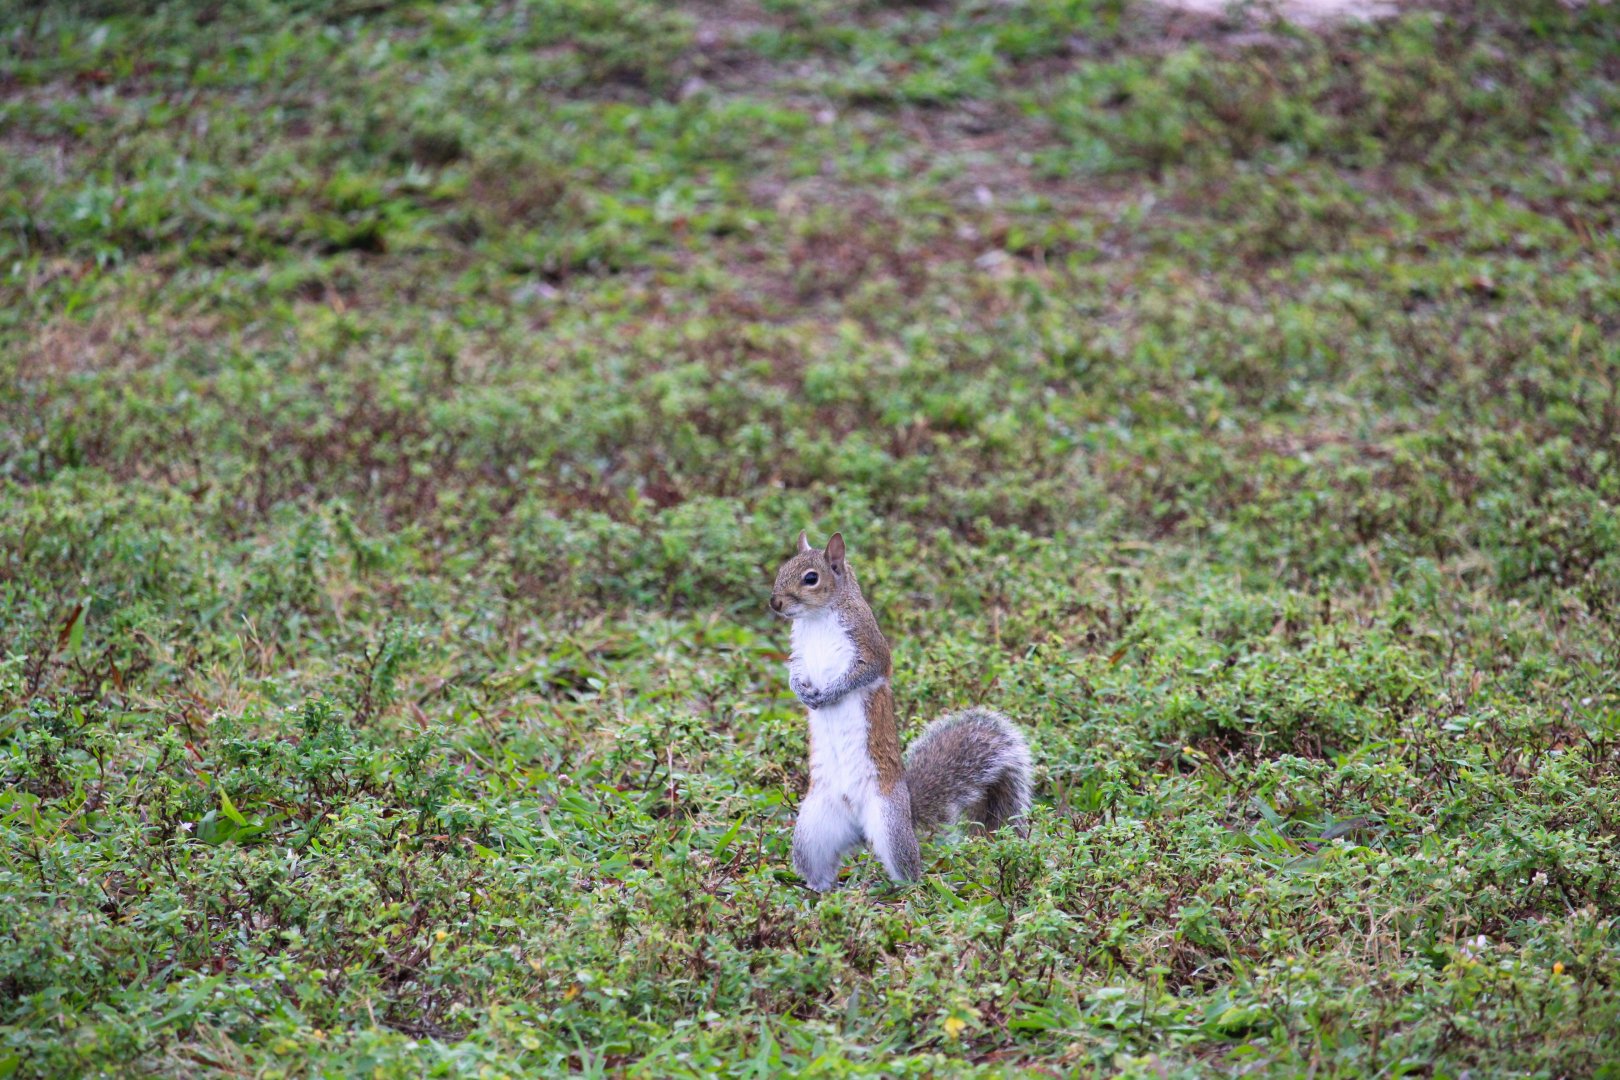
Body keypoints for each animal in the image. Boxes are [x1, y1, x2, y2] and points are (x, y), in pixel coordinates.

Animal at [768, 530, 1033, 890]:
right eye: (783, 567)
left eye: (811, 578)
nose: (775, 603)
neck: (817, 619)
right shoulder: (799, 654)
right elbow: (795, 674)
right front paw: (802, 692)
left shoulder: (869, 645)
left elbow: (865, 672)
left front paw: (830, 694)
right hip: (812, 829)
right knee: (818, 864)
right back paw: (819, 890)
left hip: (889, 824)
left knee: (909, 870)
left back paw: (900, 890)